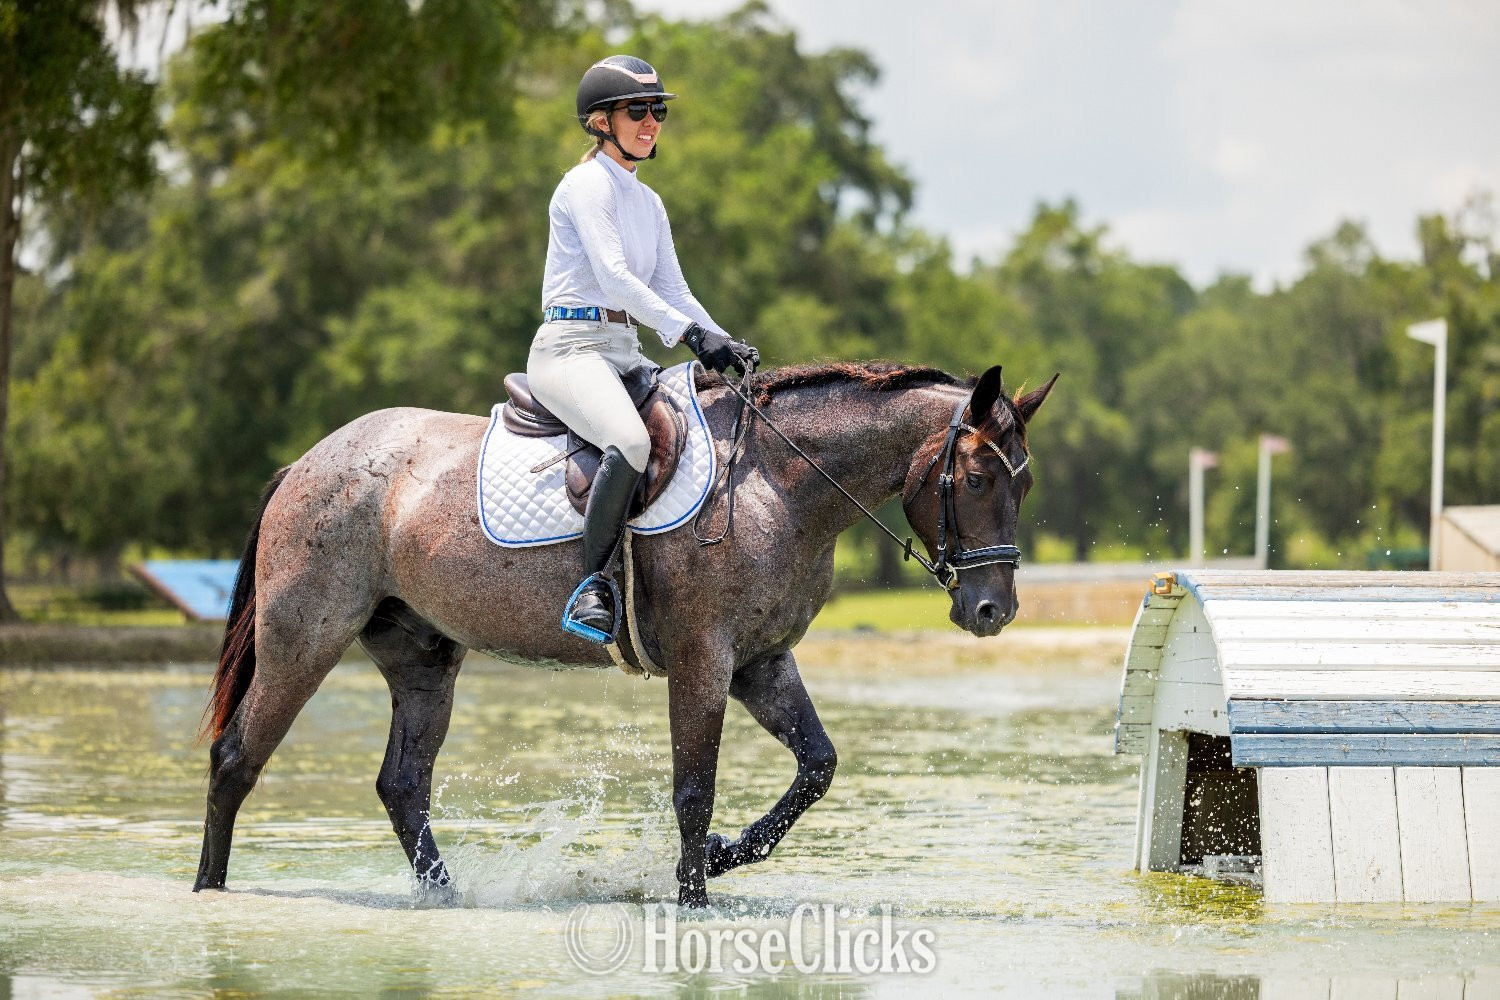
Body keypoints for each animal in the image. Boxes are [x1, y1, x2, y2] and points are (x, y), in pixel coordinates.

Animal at [193, 360, 1057, 908]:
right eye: (978, 478)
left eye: (1024, 484)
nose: (994, 611)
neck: (779, 481)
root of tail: (309, 461)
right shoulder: (705, 660)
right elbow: (694, 789)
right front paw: (694, 895)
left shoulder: (762, 661)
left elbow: (816, 768)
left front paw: (721, 859)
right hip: (305, 639)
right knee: (237, 758)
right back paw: (209, 889)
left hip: (423, 658)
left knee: (403, 786)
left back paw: (446, 896)